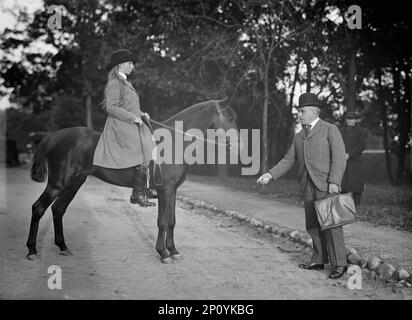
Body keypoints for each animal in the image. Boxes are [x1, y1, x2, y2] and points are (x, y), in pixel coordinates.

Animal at [27, 99, 240, 262]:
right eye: (229, 118)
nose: (239, 147)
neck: (174, 142)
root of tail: (53, 136)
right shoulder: (165, 190)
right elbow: (163, 221)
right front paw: (163, 253)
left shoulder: (172, 191)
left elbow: (171, 221)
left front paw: (173, 251)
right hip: (57, 184)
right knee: (38, 208)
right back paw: (32, 250)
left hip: (74, 183)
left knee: (58, 210)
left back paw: (63, 246)